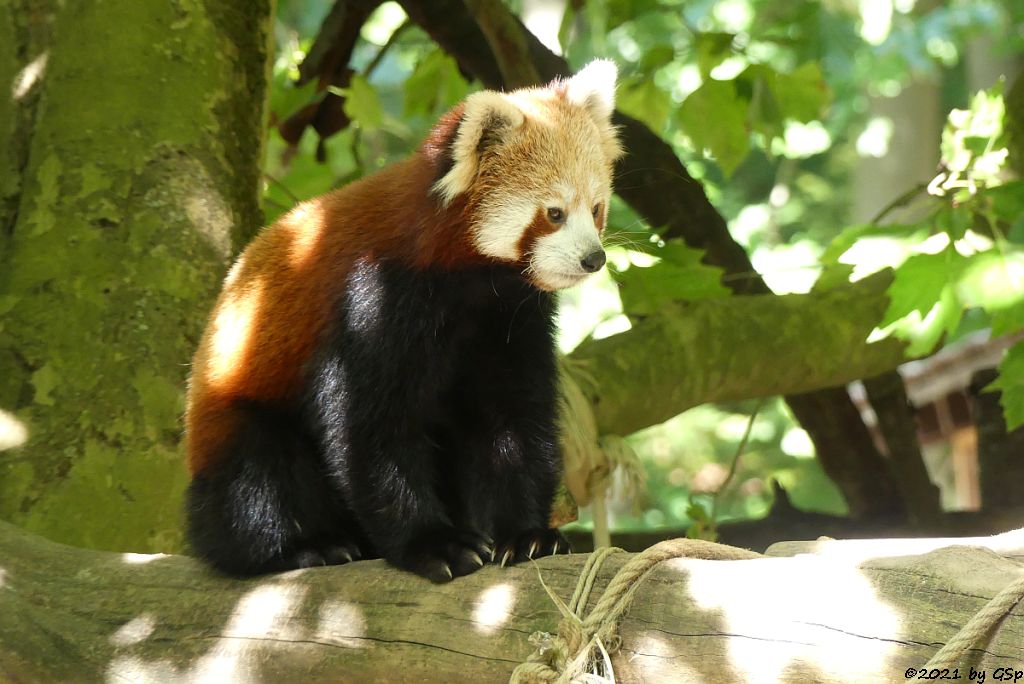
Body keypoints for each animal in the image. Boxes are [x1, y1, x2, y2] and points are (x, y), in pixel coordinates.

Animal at [184, 60, 622, 581]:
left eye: (595, 209)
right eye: (554, 214)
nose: (594, 259)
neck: (471, 281)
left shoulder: (509, 318)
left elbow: (513, 416)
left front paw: (527, 534)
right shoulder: (376, 298)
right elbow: (369, 428)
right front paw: (433, 543)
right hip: (234, 418)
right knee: (257, 476)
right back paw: (303, 547)